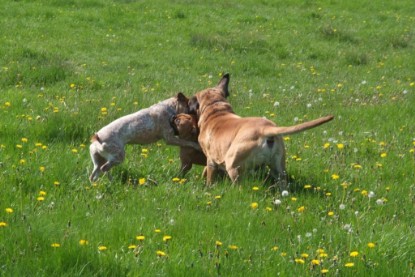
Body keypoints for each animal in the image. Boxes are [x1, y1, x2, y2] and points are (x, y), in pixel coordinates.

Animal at [191, 73, 334, 189]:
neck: (216, 109)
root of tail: (266, 129)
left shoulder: (211, 161)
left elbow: (208, 176)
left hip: (233, 166)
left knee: (239, 186)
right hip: (278, 168)